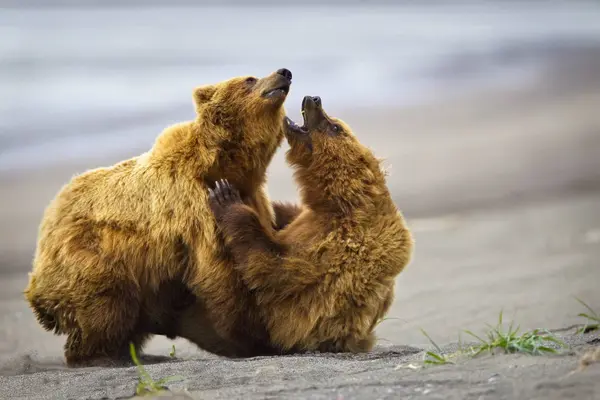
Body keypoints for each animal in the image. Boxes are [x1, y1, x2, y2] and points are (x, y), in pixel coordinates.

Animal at [209, 95, 414, 354]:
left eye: (336, 127)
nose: (314, 99)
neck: (338, 200)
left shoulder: (334, 242)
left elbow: (276, 269)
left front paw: (226, 198)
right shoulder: (312, 218)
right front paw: (271, 206)